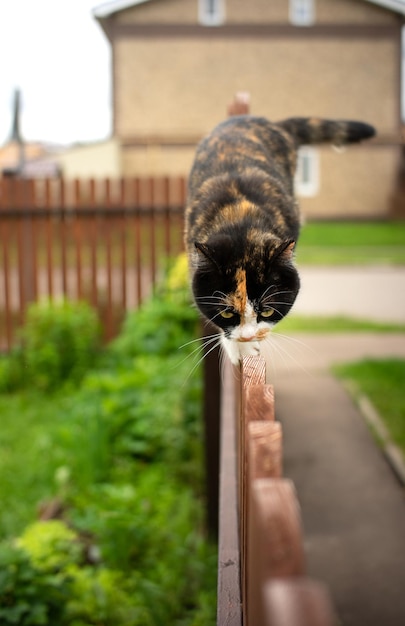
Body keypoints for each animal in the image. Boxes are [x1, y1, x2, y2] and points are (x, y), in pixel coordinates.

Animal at [185, 114, 374, 364]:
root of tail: (263, 121)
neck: (241, 222)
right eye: (226, 312)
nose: (247, 336)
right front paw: (239, 348)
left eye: (267, 310)